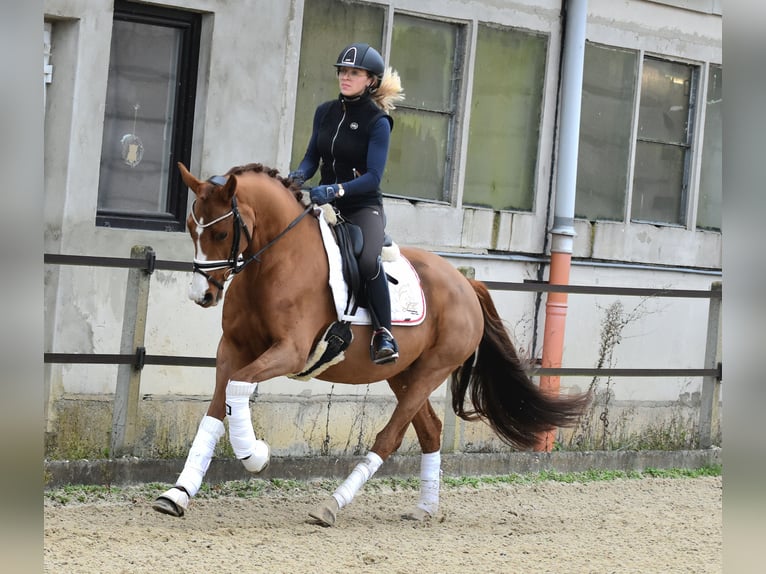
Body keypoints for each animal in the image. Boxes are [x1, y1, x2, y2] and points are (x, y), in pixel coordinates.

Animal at [153, 162, 592, 528]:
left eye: (221, 232)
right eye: (191, 229)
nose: (202, 295)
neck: (276, 261)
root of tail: (466, 283)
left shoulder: (290, 352)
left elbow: (239, 388)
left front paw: (254, 454)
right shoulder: (232, 349)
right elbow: (216, 410)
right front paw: (177, 493)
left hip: (432, 369)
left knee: (390, 437)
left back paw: (332, 504)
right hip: (403, 372)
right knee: (430, 431)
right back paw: (424, 508)